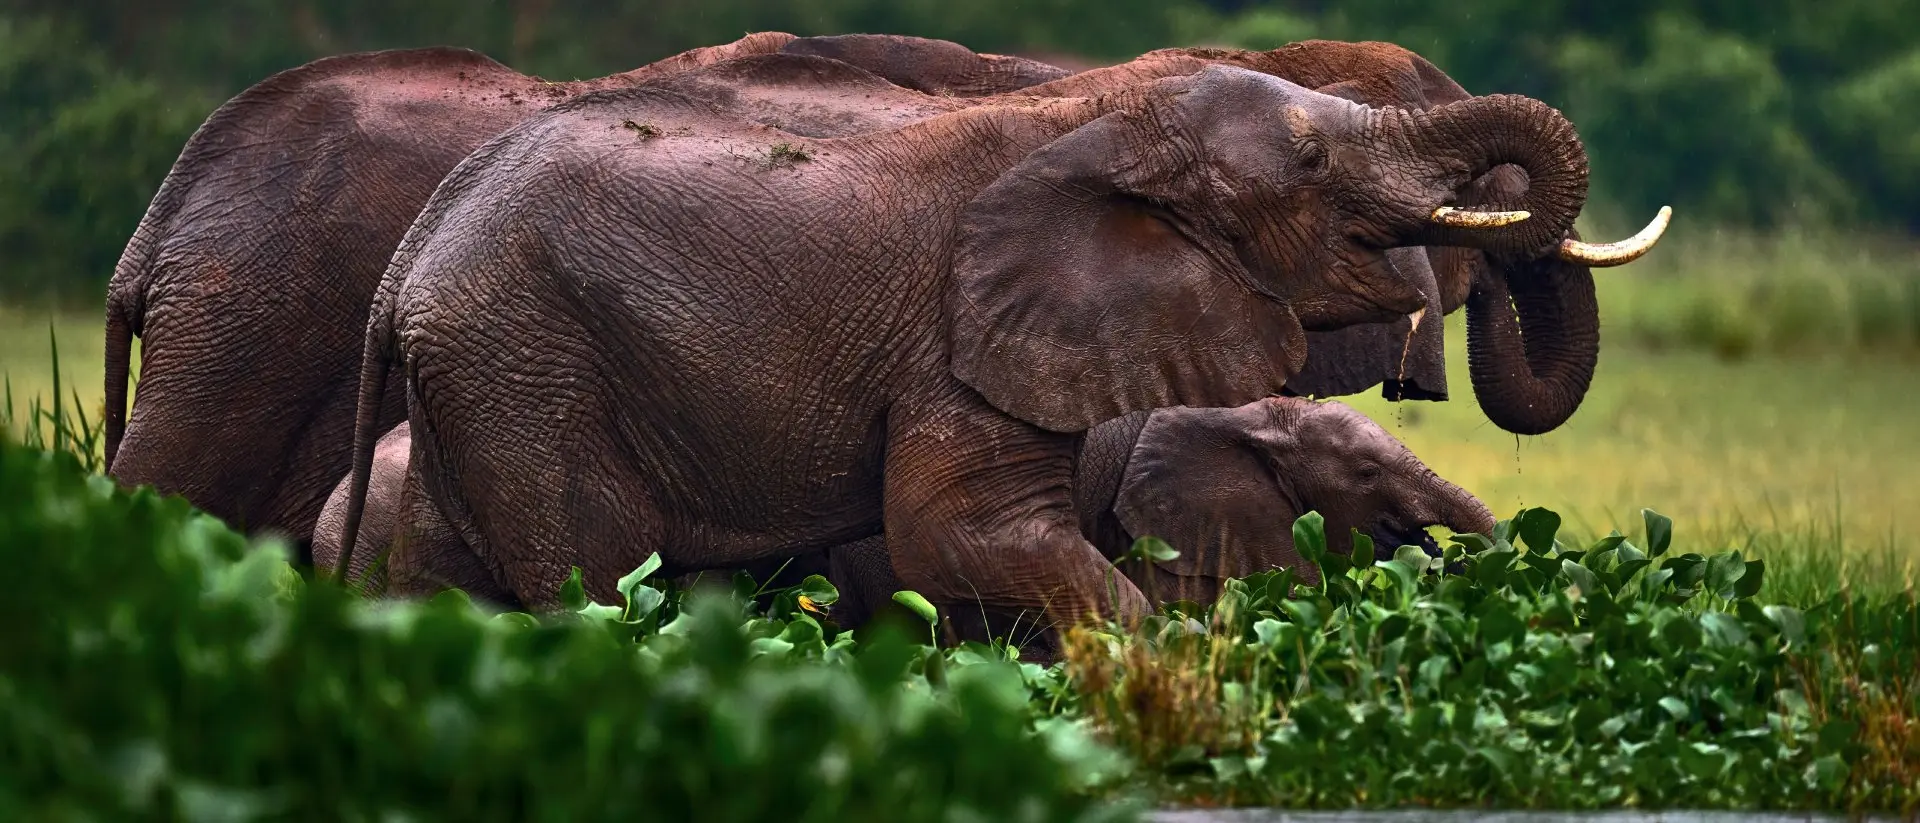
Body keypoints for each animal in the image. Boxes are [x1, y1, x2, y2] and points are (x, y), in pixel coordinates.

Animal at [333, 64, 1610, 634]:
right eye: (1308, 159)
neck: (1100, 120)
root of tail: (407, 262)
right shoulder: (959, 340)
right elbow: (964, 538)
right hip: (527, 372)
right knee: (591, 587)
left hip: (477, 388)